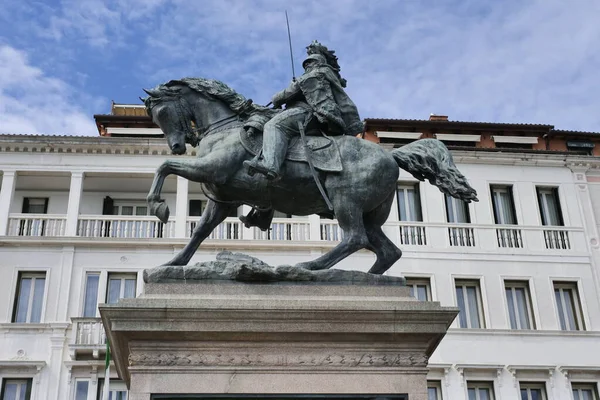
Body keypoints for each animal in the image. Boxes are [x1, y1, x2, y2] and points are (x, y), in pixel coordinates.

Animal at [142, 77, 478, 274]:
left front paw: (158, 206)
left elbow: (165, 167)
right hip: (371, 214)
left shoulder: (211, 169)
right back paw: (367, 279)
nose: (177, 145)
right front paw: (173, 264)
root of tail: (391, 155)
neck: (225, 126)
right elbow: (200, 231)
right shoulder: (223, 199)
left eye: (162, 112)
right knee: (387, 251)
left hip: (346, 201)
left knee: (354, 238)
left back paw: (309, 266)